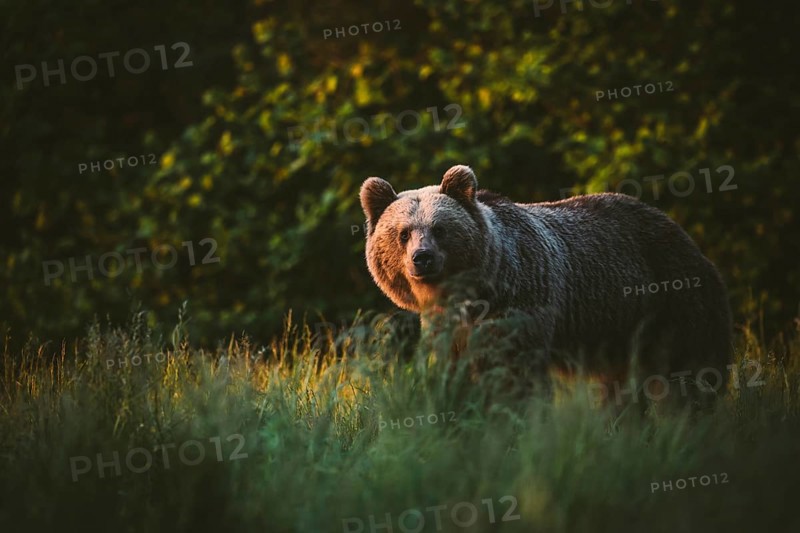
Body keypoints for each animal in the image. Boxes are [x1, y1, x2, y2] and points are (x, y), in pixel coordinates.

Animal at [359, 164, 733, 407]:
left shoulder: (520, 304)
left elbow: (511, 372)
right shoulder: (445, 328)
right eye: (403, 233)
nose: (422, 258)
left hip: (672, 303)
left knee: (690, 370)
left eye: (439, 229)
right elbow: (454, 373)